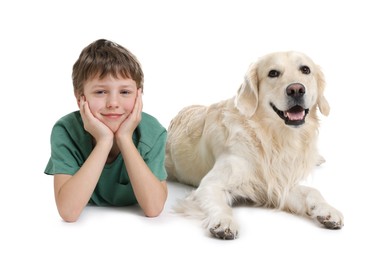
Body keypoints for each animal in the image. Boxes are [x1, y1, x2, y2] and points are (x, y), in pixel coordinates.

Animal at [165, 51, 344, 240]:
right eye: (273, 73)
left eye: (305, 70)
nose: (296, 89)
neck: (272, 136)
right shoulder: (210, 185)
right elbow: (220, 205)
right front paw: (224, 221)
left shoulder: (278, 184)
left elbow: (312, 191)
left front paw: (328, 211)